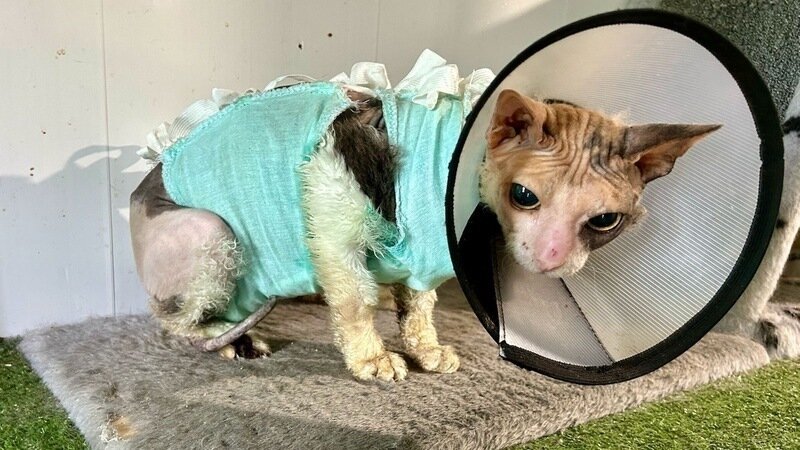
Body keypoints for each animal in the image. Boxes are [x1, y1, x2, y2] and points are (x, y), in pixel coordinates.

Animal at [130, 85, 718, 382]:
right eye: (524, 196)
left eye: (603, 222)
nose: (554, 259)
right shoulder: (332, 198)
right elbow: (355, 302)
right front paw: (372, 362)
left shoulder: (425, 260)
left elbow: (418, 307)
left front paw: (427, 351)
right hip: (212, 231)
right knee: (173, 320)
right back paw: (226, 339)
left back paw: (243, 335)